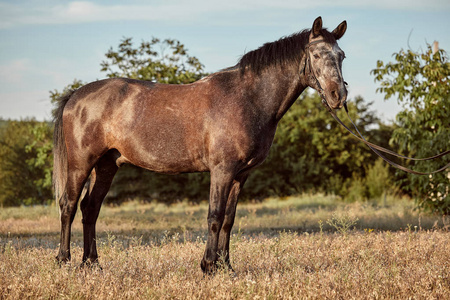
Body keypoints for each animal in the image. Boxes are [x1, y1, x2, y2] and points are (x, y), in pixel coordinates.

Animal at [52, 17, 348, 274]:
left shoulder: (241, 175)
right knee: (68, 206)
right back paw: (64, 260)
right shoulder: (222, 170)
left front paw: (226, 267)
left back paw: (91, 263)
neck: (247, 98)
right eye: (317, 55)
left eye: (341, 55)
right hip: (81, 164)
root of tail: (76, 95)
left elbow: (228, 219)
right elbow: (214, 216)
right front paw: (208, 266)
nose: (339, 96)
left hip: (106, 166)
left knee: (90, 209)